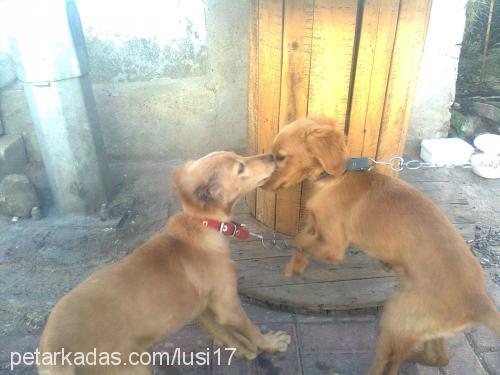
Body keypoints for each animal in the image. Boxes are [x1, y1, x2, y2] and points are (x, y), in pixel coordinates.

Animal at [40, 153, 290, 375]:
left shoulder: (202, 307)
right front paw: (268, 343)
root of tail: (54, 351)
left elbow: (222, 331)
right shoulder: (228, 305)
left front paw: (244, 349)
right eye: (240, 168)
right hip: (132, 367)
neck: (202, 226)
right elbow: (250, 328)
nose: (273, 156)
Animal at [264, 119, 498, 374]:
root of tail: (478, 301)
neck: (334, 178)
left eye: (280, 157)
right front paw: (296, 265)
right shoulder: (316, 226)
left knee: (388, 364)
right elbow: (302, 238)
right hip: (423, 326)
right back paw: (417, 354)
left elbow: (299, 242)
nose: (262, 184)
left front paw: (294, 264)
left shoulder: (334, 246)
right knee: (438, 357)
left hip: (395, 316)